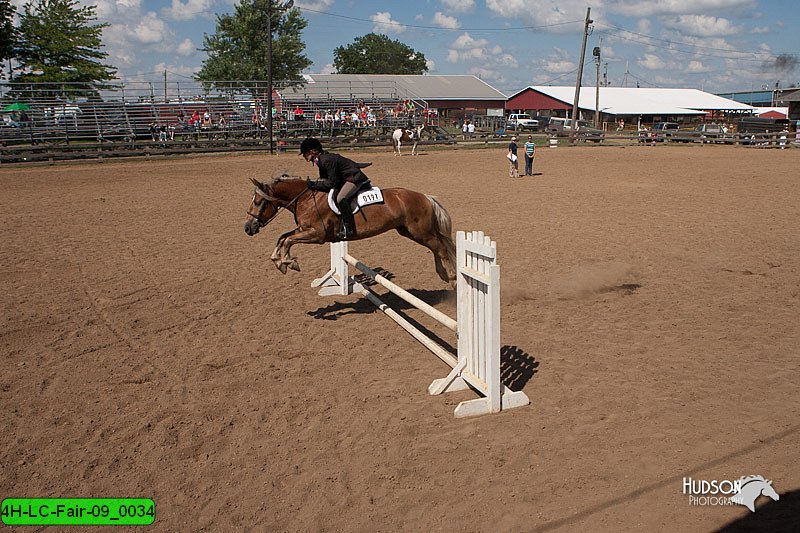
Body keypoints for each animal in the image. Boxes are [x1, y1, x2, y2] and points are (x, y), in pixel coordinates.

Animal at [242, 174, 456, 282]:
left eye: (259, 202)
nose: (248, 228)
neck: (305, 199)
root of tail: (426, 197)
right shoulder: (305, 230)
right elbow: (282, 237)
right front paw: (279, 260)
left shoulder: (317, 235)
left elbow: (287, 240)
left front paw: (287, 262)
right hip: (410, 232)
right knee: (438, 247)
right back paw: (443, 274)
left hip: (420, 232)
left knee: (441, 248)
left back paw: (452, 277)